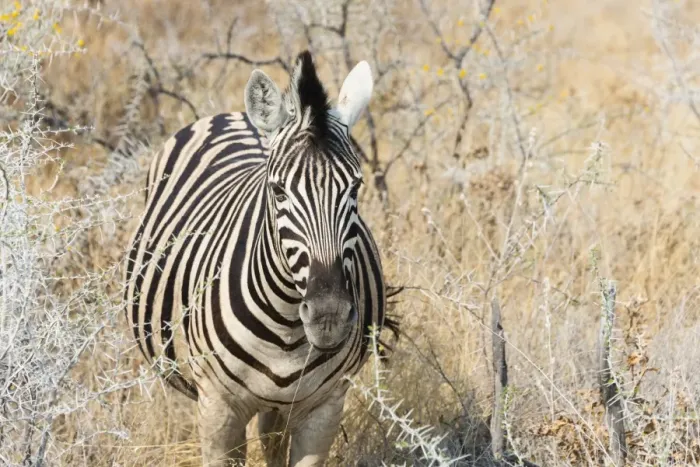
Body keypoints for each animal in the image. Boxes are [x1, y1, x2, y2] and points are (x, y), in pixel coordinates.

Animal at [124, 51, 397, 466]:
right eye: (279, 191)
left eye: (355, 187)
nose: (329, 316)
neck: (286, 330)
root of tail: (233, 114)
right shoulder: (218, 408)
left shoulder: (324, 409)